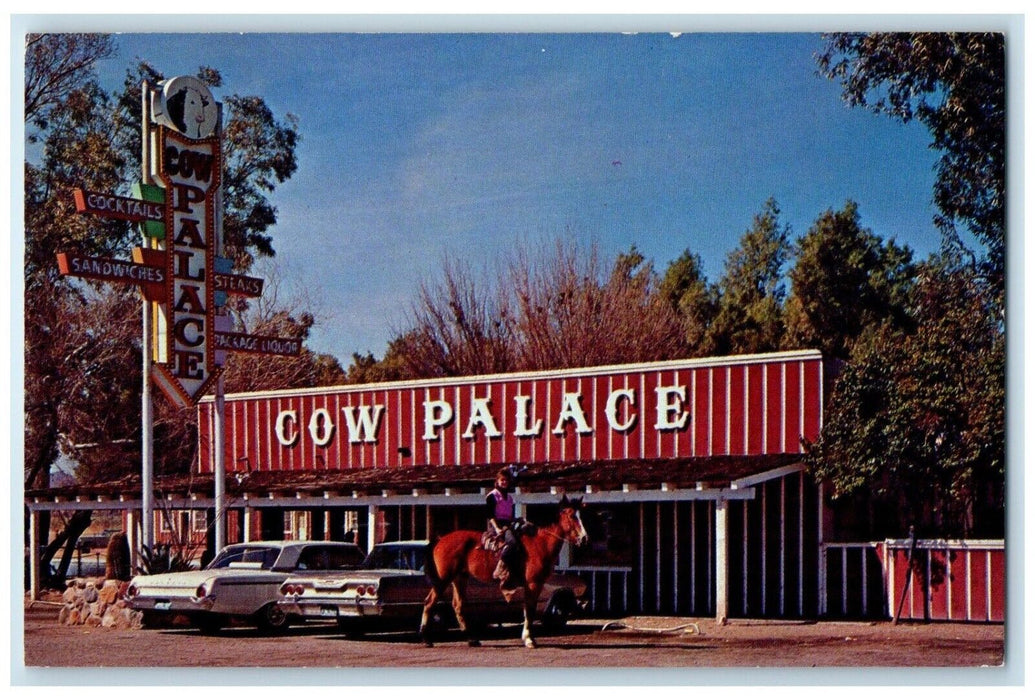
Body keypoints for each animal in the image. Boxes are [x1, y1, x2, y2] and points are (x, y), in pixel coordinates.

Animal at [416, 492, 587, 650]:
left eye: (581, 514)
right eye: (572, 516)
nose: (584, 538)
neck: (539, 543)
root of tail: (440, 540)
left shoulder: (535, 585)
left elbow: (528, 609)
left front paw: (528, 638)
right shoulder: (533, 583)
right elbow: (530, 610)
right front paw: (529, 640)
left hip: (459, 578)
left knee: (458, 605)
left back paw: (472, 639)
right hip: (443, 579)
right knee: (429, 602)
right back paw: (426, 639)